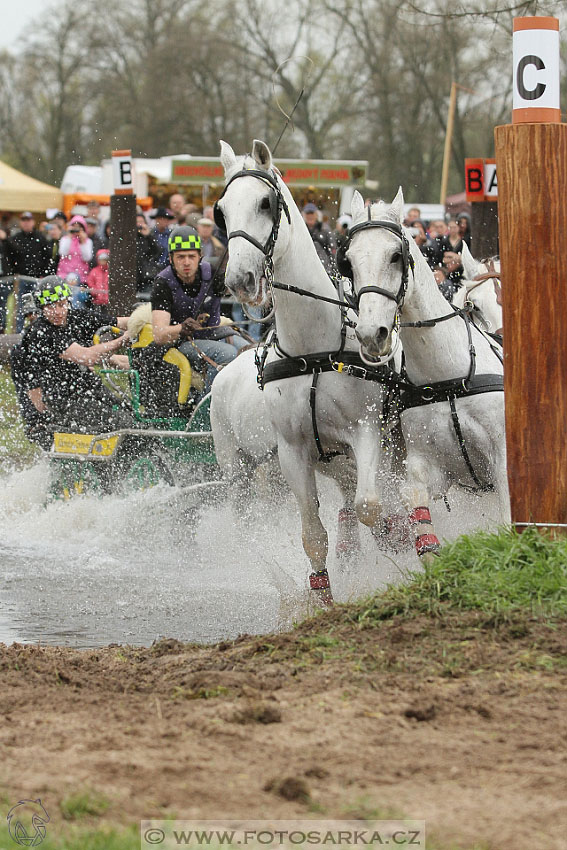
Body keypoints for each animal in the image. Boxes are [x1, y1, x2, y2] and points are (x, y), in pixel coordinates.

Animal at [211, 139, 392, 600]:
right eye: (221, 211)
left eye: (265, 202)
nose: (240, 280)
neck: (314, 351)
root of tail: (224, 371)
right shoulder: (292, 452)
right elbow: (313, 537)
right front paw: (322, 599)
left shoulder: (365, 430)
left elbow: (369, 507)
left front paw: (396, 538)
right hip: (238, 472)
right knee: (247, 525)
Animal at [346, 188, 510, 556]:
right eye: (348, 260)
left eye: (396, 255)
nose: (371, 332)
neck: (450, 377)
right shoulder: (427, 463)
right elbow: (415, 499)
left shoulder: (503, 459)